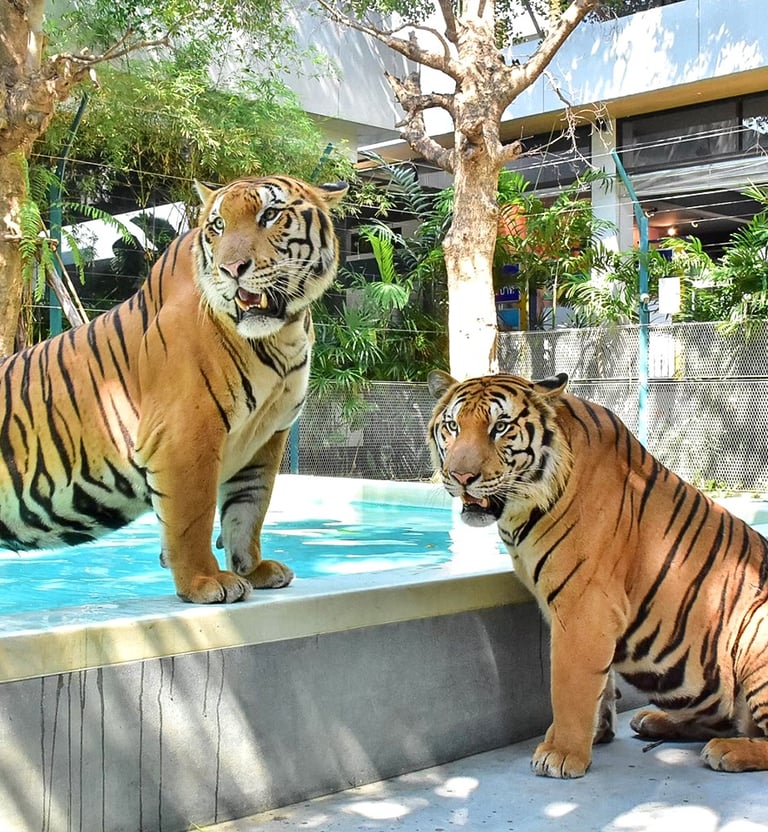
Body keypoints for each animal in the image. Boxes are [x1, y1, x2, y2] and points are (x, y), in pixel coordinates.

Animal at [0, 174, 347, 604]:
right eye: (218, 226)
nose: (232, 269)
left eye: (269, 215)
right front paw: (206, 581)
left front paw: (252, 568)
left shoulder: (267, 438)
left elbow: (249, 507)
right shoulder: (185, 433)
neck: (282, 334)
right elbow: (192, 515)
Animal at [428, 368, 768, 777]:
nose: (460, 476)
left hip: (757, 628)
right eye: (453, 426)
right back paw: (655, 720)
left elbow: (569, 685)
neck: (521, 510)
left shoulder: (582, 606)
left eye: (501, 427)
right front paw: (598, 731)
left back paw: (726, 750)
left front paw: (561, 753)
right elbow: (599, 683)